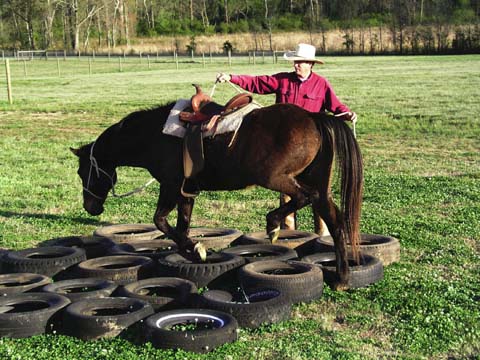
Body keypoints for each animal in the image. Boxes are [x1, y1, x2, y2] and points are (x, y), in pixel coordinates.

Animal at [71, 101, 362, 290]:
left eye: (82, 171)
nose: (90, 207)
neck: (153, 136)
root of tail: (313, 118)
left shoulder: (170, 186)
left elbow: (160, 221)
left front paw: (195, 248)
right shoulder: (186, 191)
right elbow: (181, 225)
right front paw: (192, 252)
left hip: (277, 178)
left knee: (305, 198)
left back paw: (273, 225)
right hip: (315, 184)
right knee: (334, 220)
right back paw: (342, 278)